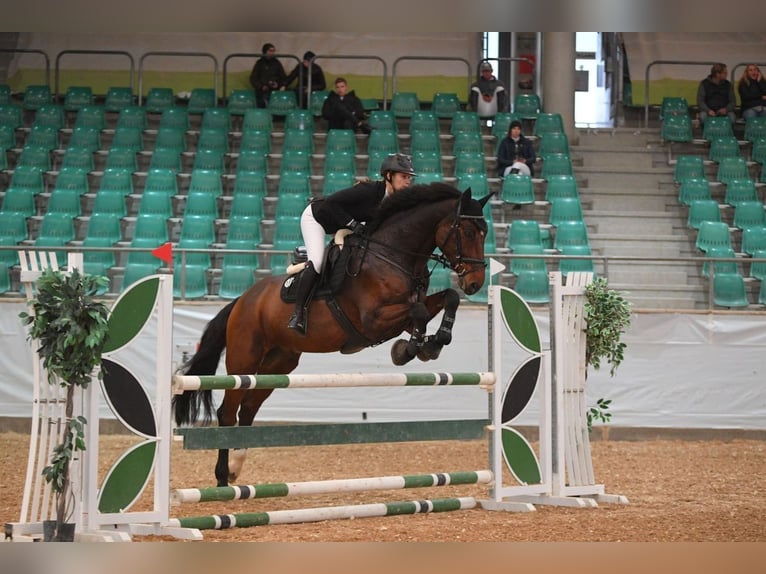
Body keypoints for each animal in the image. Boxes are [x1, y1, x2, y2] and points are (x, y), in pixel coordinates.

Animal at [172, 183, 492, 486]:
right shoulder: (373, 319)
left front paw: (432, 343)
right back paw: (222, 477)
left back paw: (236, 469)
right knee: (227, 412)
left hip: (279, 363)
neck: (393, 255)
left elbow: (447, 299)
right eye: (466, 231)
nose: (476, 283)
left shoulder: (404, 313)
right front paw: (410, 349)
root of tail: (242, 300)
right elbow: (420, 312)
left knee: (248, 408)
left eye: (485, 232)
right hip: (243, 360)